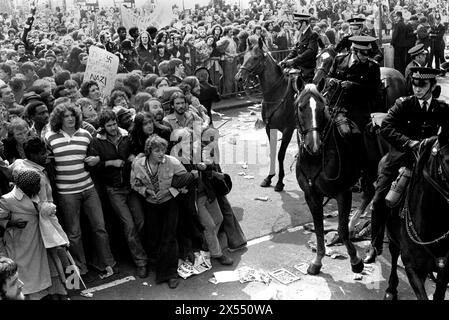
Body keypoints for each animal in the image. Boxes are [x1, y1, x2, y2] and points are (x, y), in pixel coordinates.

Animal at [234, 38, 298, 191]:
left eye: (255, 58)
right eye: (244, 57)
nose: (239, 78)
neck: (276, 94)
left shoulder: (288, 130)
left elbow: (280, 154)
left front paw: (280, 182)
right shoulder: (269, 128)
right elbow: (273, 152)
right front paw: (269, 178)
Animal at [294, 84, 364, 274]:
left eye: (321, 108)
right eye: (301, 107)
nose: (313, 144)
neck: (316, 159)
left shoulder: (343, 193)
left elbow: (341, 229)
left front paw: (355, 260)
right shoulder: (311, 195)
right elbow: (318, 227)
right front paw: (317, 261)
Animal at [384, 137, 448, 300]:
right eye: (447, 161)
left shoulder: (445, 270)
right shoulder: (412, 268)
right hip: (392, 239)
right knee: (394, 256)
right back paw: (391, 289)